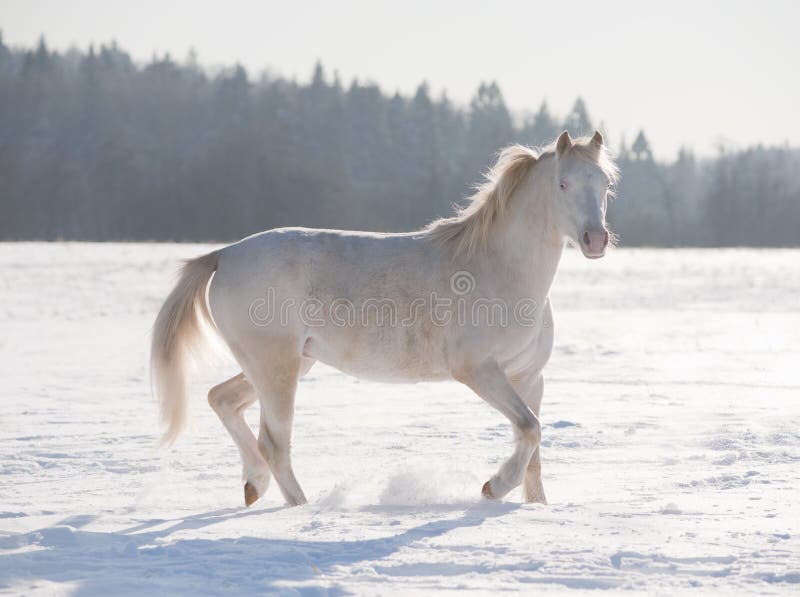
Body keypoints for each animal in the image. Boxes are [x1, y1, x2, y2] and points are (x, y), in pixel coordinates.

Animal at [153, 129, 620, 502]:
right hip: (277, 368)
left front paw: (535, 507)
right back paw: (300, 509)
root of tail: (224, 255)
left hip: (288, 363)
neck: (498, 269)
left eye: (605, 185)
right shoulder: (478, 370)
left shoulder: (529, 377)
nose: (595, 240)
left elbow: (534, 444)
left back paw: (254, 486)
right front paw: (494, 487)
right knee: (275, 443)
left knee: (222, 399)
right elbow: (530, 428)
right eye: (563, 183)